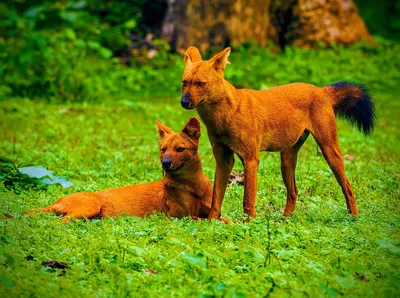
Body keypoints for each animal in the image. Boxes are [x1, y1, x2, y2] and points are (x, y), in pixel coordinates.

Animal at [24, 117, 216, 222]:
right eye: (163, 150)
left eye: (180, 149)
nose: (165, 163)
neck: (194, 185)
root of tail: (58, 200)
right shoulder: (179, 216)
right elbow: (209, 221)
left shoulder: (208, 210)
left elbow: (219, 218)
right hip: (89, 207)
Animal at [181, 46, 376, 219]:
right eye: (184, 83)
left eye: (200, 83)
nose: (184, 101)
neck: (223, 117)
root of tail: (320, 89)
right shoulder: (223, 160)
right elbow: (216, 199)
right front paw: (212, 223)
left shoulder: (251, 159)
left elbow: (248, 200)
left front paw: (248, 224)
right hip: (287, 159)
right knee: (294, 191)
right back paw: (284, 220)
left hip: (329, 149)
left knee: (347, 187)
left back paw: (354, 218)